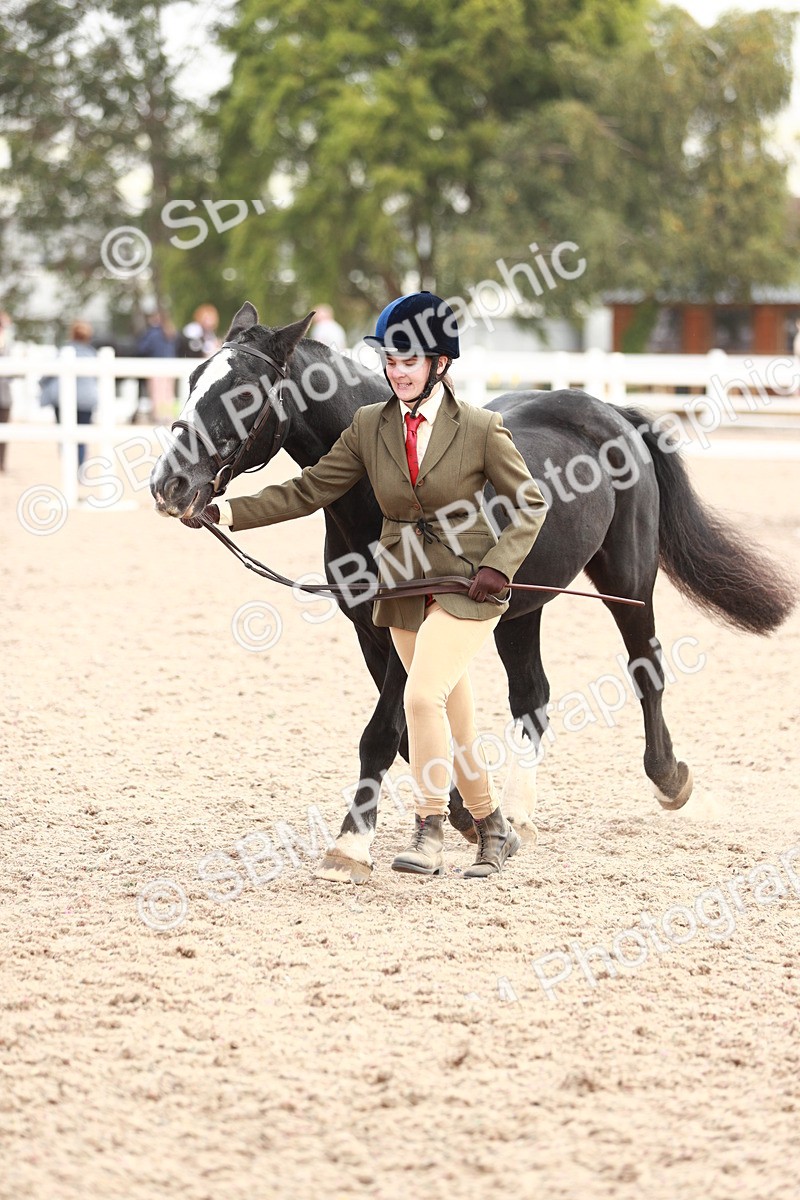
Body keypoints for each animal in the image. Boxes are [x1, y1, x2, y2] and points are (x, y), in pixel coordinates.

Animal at [150, 302, 795, 884]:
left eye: (241, 394)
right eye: (192, 378)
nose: (169, 484)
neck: (368, 496)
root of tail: (609, 409)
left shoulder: (408, 618)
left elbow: (382, 733)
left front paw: (350, 846)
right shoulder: (371, 630)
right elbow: (412, 734)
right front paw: (468, 819)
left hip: (628, 580)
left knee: (646, 670)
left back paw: (671, 780)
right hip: (517, 610)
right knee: (532, 699)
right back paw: (519, 816)